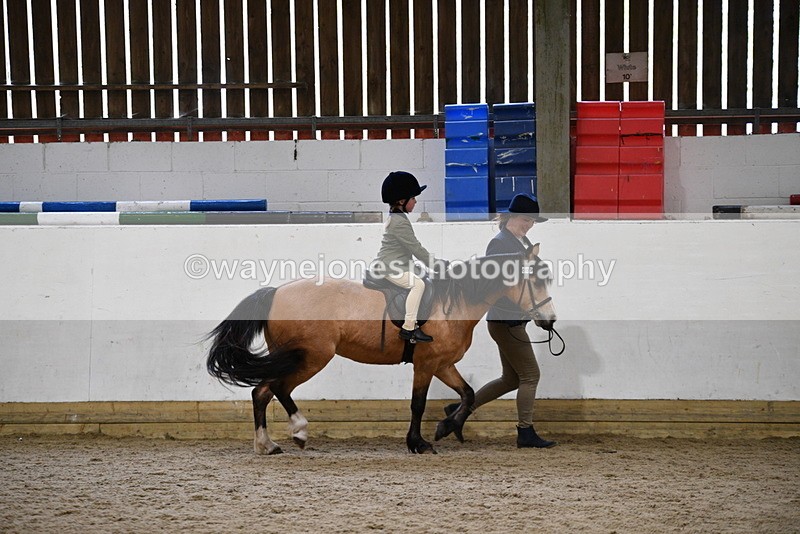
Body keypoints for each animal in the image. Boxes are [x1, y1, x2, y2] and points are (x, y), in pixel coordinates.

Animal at [206, 243, 557, 454]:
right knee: (277, 389)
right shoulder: (426, 364)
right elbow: (418, 404)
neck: (452, 305)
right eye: (537, 282)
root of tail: (277, 292)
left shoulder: (443, 364)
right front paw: (418, 443)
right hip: (311, 358)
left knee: (262, 392)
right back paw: (298, 432)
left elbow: (469, 394)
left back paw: (267, 444)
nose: (550, 321)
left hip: (294, 358)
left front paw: (446, 427)